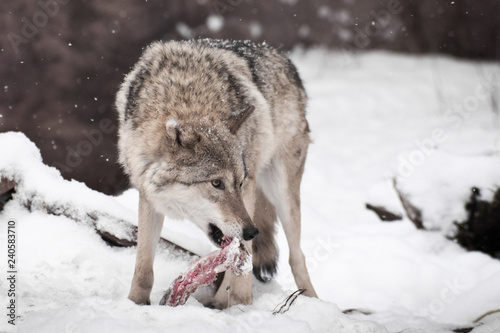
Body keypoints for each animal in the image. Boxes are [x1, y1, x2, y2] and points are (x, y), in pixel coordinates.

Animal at [115, 38, 318, 306]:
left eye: (238, 183)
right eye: (216, 183)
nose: (252, 231)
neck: (188, 97)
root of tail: (284, 59)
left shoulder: (249, 188)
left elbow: (242, 264)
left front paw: (242, 305)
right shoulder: (149, 196)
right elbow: (143, 265)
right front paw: (135, 303)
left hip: (282, 193)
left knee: (297, 257)